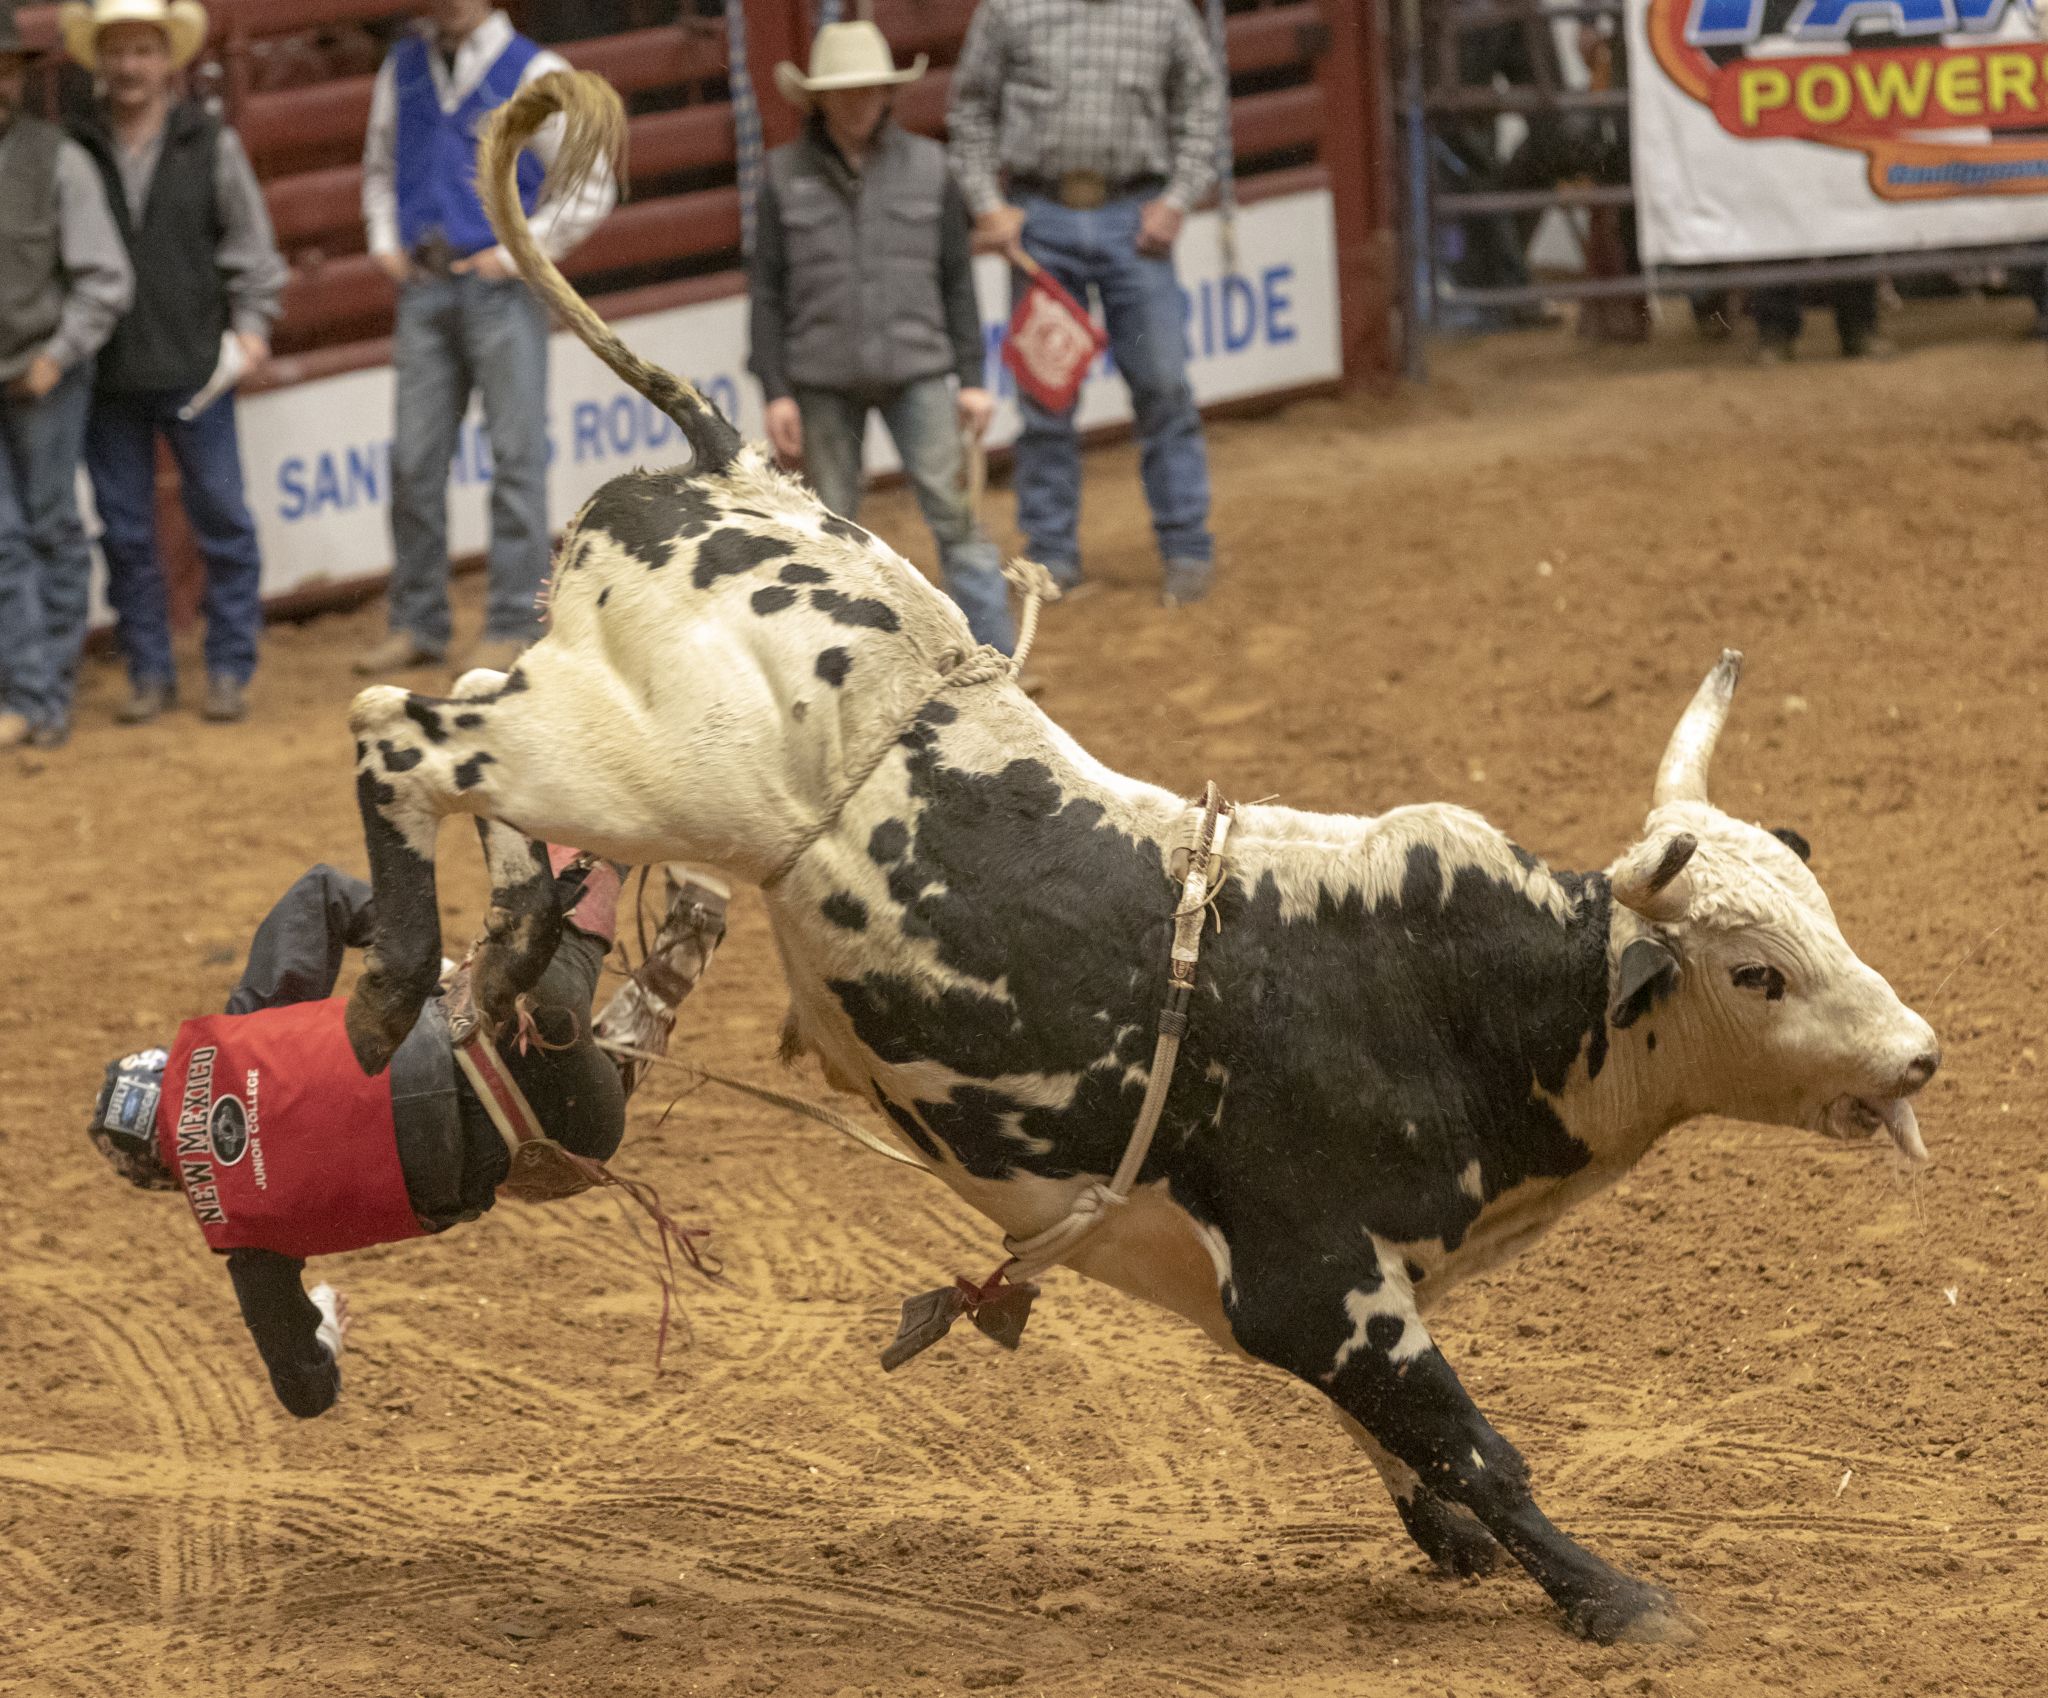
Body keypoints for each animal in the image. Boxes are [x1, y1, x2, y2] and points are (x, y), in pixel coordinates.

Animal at [343, 70, 1942, 1645]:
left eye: (1828, 915)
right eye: (1756, 970)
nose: (1919, 1054)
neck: (1441, 994)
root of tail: (730, 472)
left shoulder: (1320, 1293)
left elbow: (1412, 1445)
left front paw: (1459, 1544)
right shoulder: (1318, 1283)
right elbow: (1471, 1443)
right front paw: (1610, 1593)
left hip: (589, 723)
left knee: (468, 723)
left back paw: (516, 959)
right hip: (653, 769)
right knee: (392, 731)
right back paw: (398, 987)